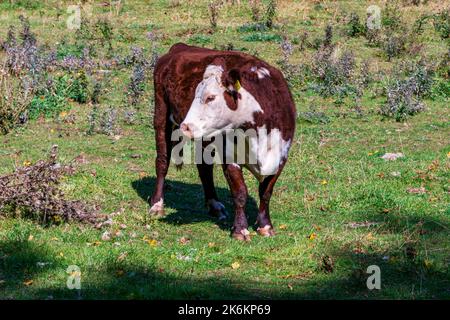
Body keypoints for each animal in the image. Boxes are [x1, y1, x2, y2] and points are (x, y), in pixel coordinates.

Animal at [149, 43, 296, 241]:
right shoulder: (229, 156)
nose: (186, 126)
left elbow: (266, 192)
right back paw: (157, 204)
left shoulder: (281, 155)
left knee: (204, 167)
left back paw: (214, 205)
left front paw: (265, 226)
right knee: (162, 161)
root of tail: (179, 47)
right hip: (162, 115)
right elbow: (240, 193)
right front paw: (240, 230)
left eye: (210, 97)